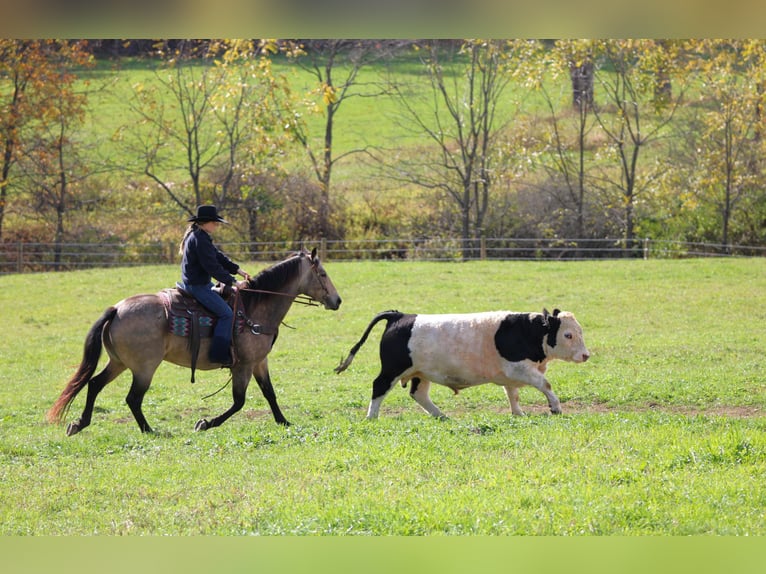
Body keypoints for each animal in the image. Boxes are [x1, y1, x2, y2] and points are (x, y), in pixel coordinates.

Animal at [46, 248, 342, 436]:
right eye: (323, 274)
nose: (337, 300)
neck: (254, 307)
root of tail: (117, 309)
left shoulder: (259, 362)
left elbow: (270, 393)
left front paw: (283, 421)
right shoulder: (243, 366)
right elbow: (239, 401)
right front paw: (206, 423)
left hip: (118, 362)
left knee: (94, 384)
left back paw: (80, 424)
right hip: (144, 368)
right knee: (133, 398)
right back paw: (148, 430)